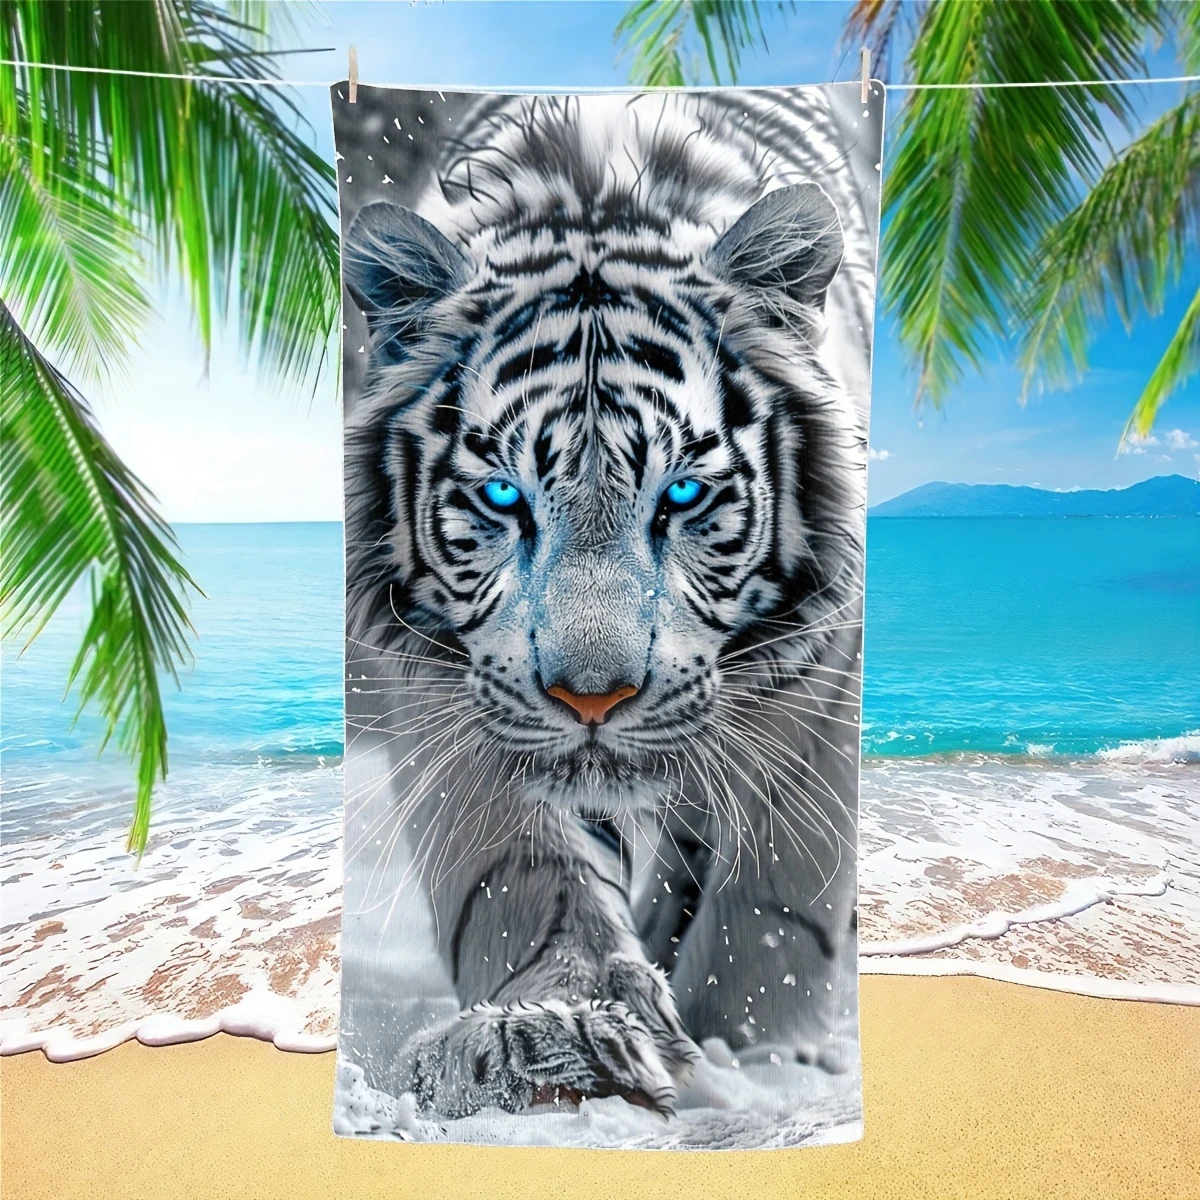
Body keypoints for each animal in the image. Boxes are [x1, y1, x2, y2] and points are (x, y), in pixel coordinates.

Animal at [340, 87, 880, 1120]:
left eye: (683, 494)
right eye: (502, 496)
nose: (593, 701)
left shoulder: (824, 679)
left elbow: (775, 901)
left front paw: (753, 1053)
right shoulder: (450, 695)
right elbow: (523, 875)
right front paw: (549, 1036)